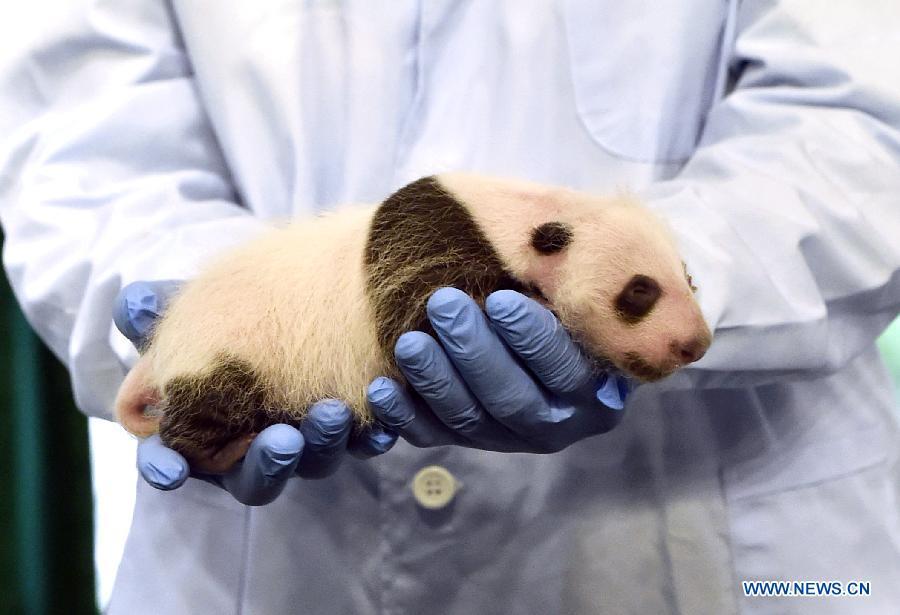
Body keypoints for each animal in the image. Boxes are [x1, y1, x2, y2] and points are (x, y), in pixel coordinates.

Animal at [115, 174, 712, 472]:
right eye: (640, 292)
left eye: (690, 280)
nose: (695, 344)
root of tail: (163, 346)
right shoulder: (423, 235)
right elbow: (415, 314)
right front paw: (533, 305)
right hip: (229, 344)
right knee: (218, 398)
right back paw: (226, 447)